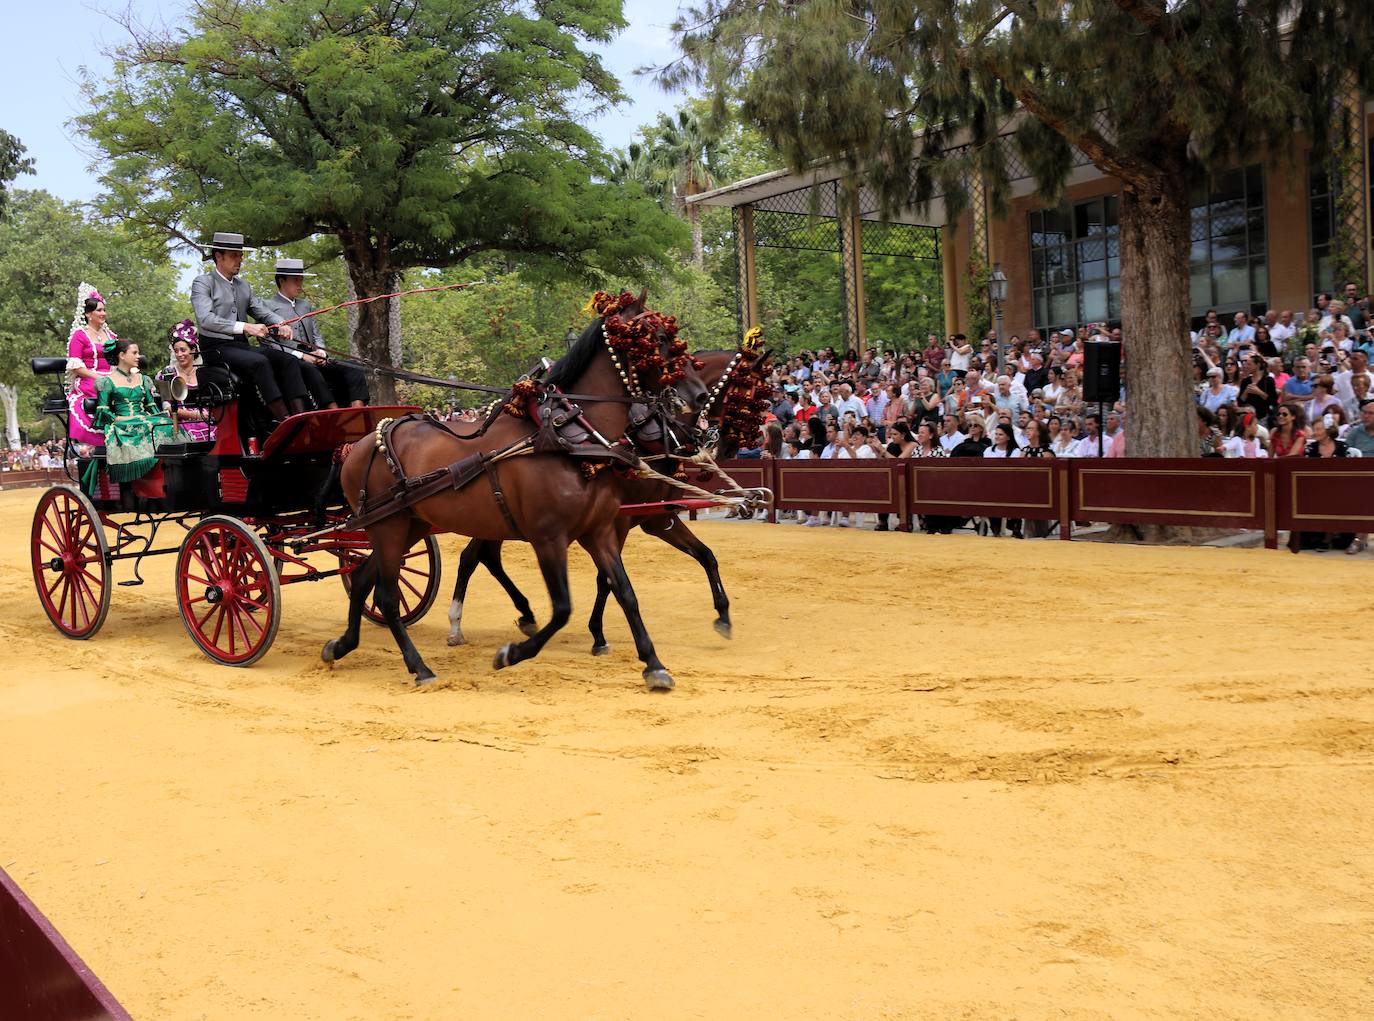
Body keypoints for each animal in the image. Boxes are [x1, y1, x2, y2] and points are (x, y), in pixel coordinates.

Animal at [321, 299, 708, 689]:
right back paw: (420, 667)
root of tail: (357, 446)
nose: (699, 394)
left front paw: (653, 664)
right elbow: (563, 608)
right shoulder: (549, 537)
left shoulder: (600, 530)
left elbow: (625, 592)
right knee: (386, 596)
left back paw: (342, 644)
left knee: (364, 578)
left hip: (408, 525)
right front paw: (512, 653)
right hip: (389, 527)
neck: (567, 438)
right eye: (656, 338)